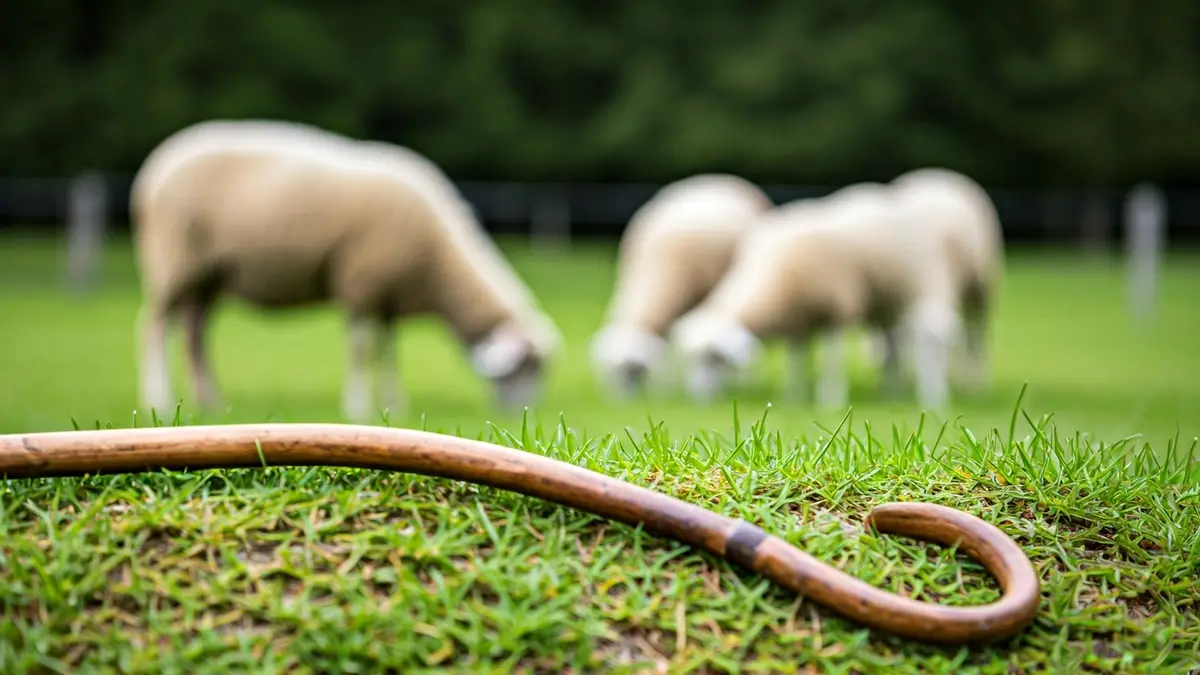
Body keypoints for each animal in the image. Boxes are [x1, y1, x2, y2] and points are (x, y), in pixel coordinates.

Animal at [130, 119, 561, 422]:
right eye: (525, 368)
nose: (524, 413)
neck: (439, 265)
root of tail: (155, 167)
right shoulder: (361, 284)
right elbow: (362, 350)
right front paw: (358, 408)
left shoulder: (388, 296)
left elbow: (388, 353)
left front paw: (394, 405)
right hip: (172, 261)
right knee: (154, 328)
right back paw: (159, 400)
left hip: (208, 277)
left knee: (194, 336)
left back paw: (209, 403)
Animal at [668, 182, 964, 409]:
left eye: (714, 358)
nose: (697, 396)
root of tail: (878, 192)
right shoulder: (795, 322)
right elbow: (796, 362)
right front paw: (793, 398)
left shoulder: (838, 309)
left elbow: (832, 362)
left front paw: (831, 400)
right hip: (884, 305)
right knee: (892, 347)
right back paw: (891, 390)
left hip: (913, 288)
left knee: (925, 338)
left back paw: (926, 394)